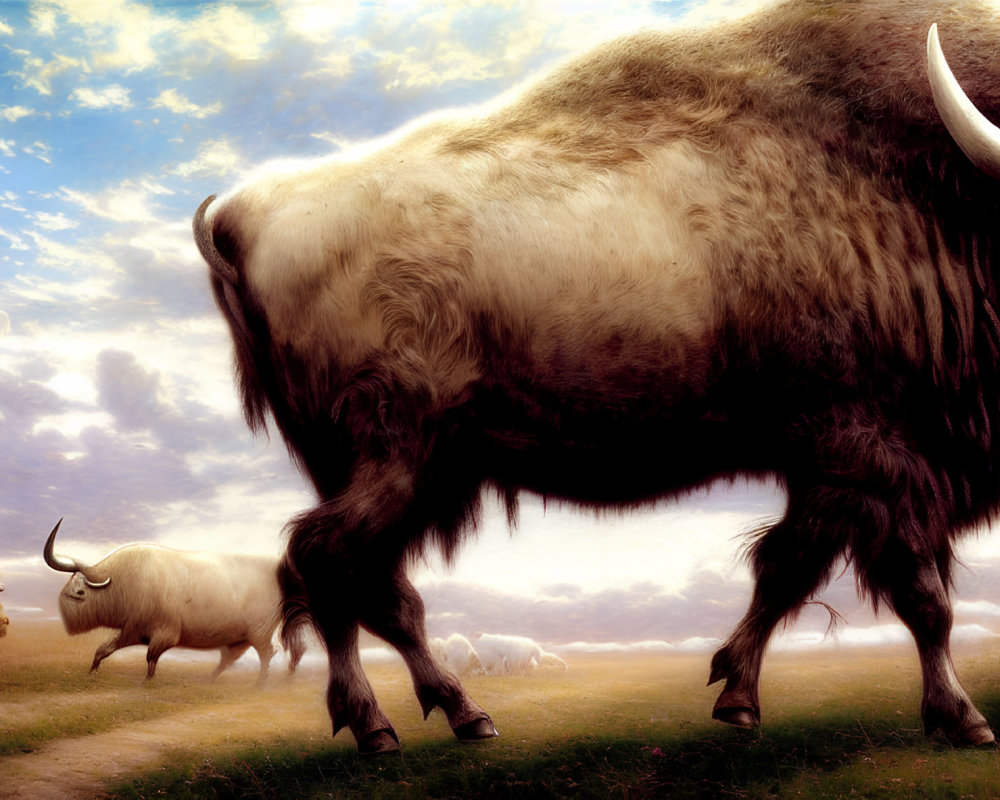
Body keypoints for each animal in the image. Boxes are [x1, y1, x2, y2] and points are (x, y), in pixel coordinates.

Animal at [46, 520, 304, 684]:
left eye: (78, 592)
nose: (65, 621)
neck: (126, 582)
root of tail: (282, 570)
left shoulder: (162, 633)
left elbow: (150, 657)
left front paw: (147, 681)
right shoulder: (133, 630)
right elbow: (104, 650)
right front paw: (91, 672)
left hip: (259, 634)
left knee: (267, 653)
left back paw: (260, 684)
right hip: (240, 638)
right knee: (229, 658)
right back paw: (211, 679)